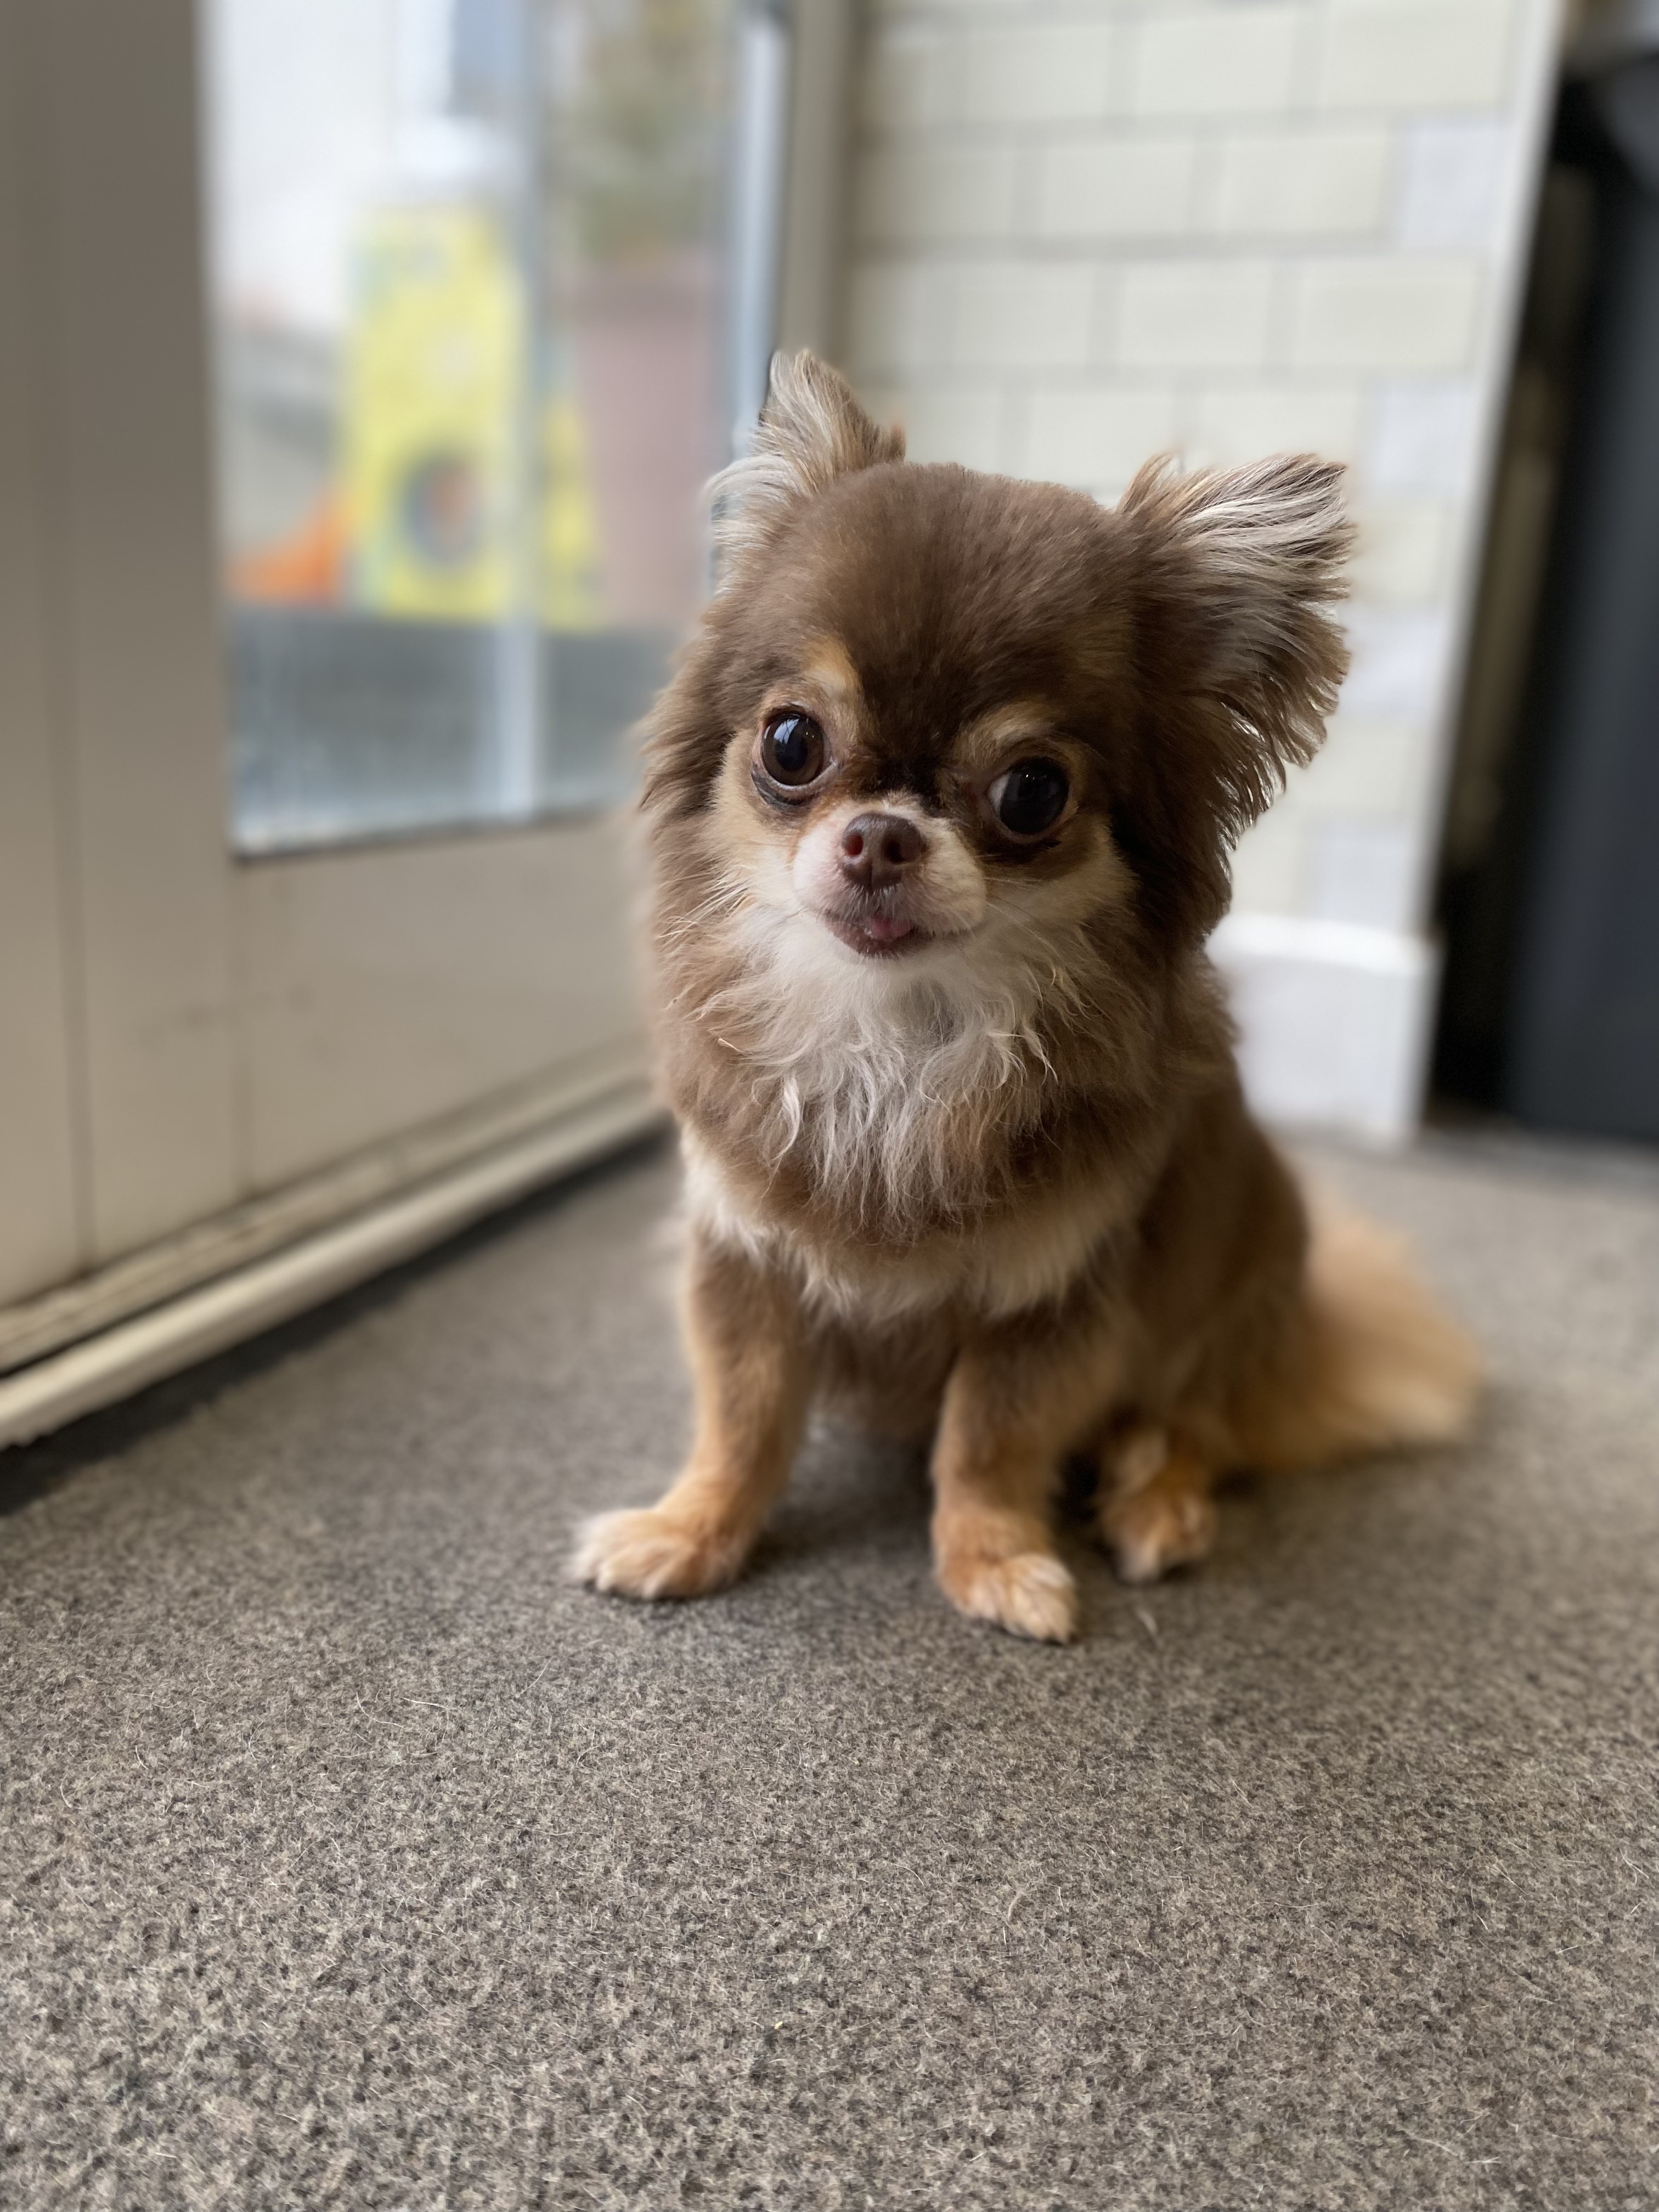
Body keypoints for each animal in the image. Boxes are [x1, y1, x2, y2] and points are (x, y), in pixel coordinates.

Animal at [572, 352, 1479, 1643]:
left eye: (1031, 793)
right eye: (792, 744)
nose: (883, 835)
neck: (901, 1040)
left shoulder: (1056, 1306)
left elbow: (987, 1445)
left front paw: (995, 1564)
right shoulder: (743, 1263)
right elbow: (741, 1423)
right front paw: (690, 1533)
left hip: (1230, 1285)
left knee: (1193, 1430)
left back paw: (1156, 1504)